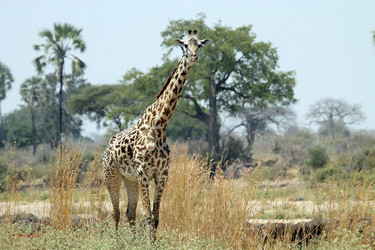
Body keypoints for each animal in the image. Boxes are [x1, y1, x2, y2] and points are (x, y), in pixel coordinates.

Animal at [103, 29, 213, 240]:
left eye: (199, 45)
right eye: (185, 45)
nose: (193, 56)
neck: (159, 125)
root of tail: (107, 147)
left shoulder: (162, 175)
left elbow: (155, 217)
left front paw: (152, 242)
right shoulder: (144, 173)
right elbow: (147, 216)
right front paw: (148, 242)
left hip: (130, 180)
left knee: (129, 213)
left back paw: (132, 242)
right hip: (111, 176)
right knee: (116, 212)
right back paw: (116, 241)